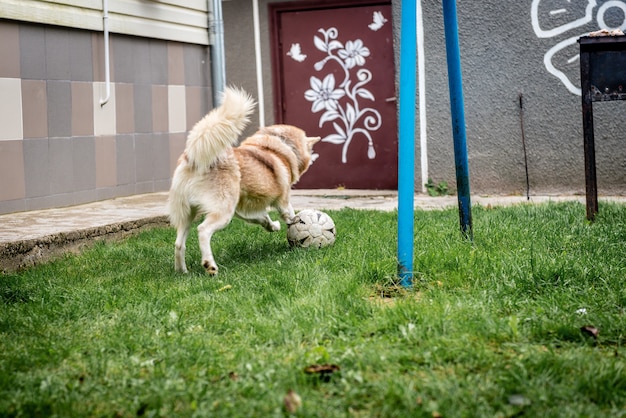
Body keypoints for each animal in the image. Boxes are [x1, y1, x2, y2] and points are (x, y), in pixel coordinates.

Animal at [167, 87, 316, 276]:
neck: (281, 147)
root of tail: (193, 158)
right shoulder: (282, 199)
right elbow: (288, 212)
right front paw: (294, 220)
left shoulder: (244, 209)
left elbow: (263, 219)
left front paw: (274, 226)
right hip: (223, 212)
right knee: (203, 230)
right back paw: (210, 266)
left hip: (188, 213)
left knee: (179, 243)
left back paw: (182, 272)